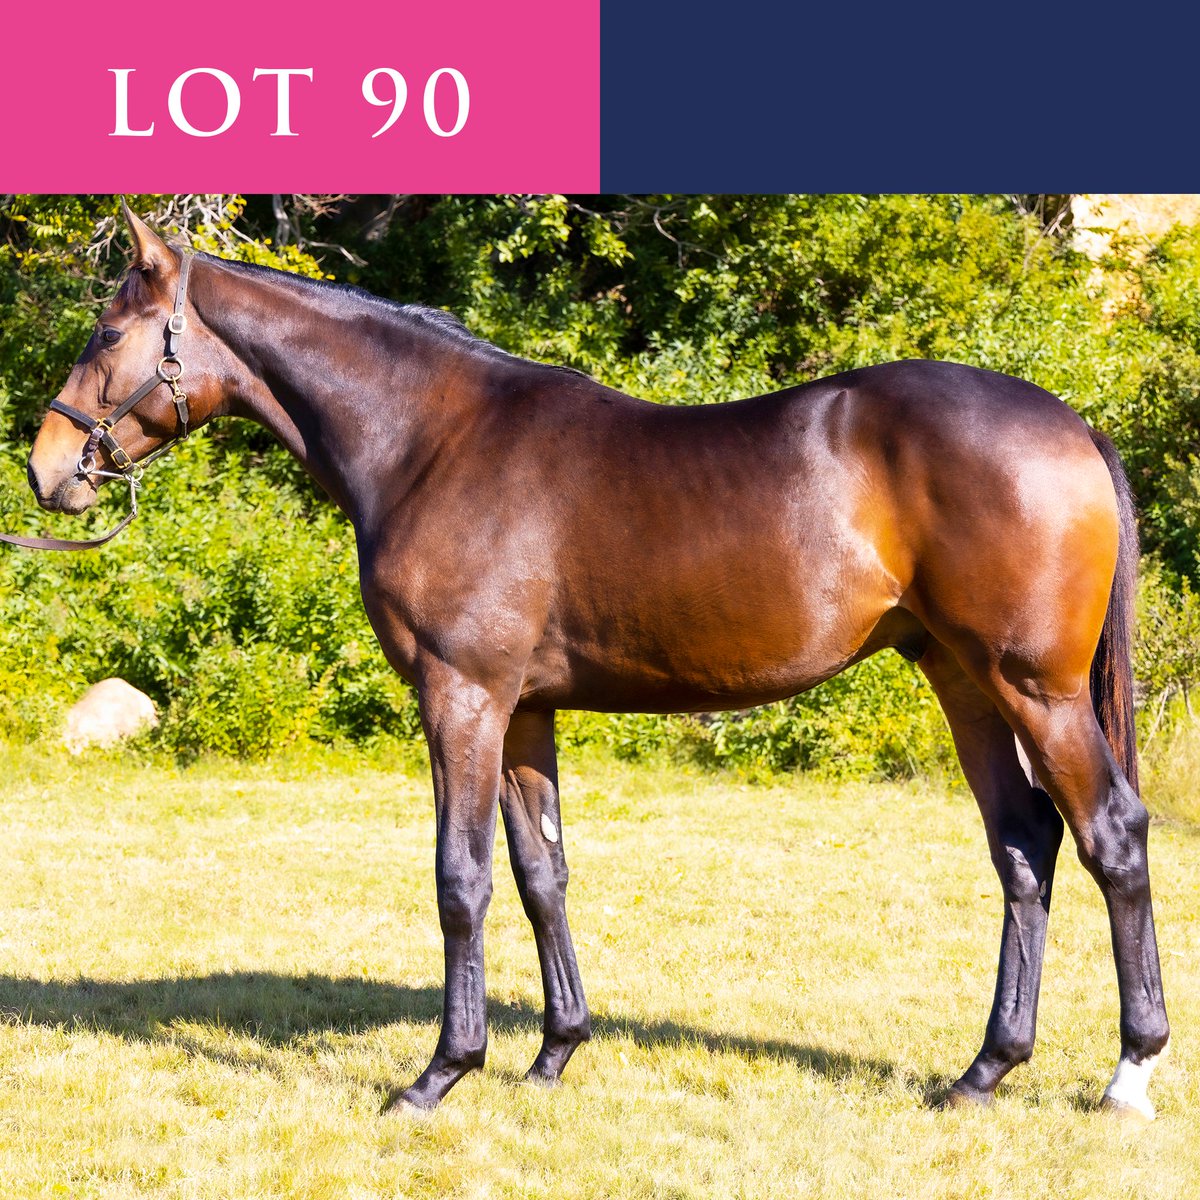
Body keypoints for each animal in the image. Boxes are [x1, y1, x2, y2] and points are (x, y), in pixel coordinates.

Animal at [24, 206, 1169, 1117]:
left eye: (109, 331)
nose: (47, 468)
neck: (430, 441)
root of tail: (1073, 426)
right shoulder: (524, 709)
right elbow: (543, 874)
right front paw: (553, 1055)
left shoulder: (462, 697)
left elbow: (461, 878)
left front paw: (441, 1073)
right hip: (962, 678)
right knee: (1024, 846)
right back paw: (983, 1070)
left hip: (1035, 688)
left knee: (1109, 835)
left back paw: (1131, 1070)